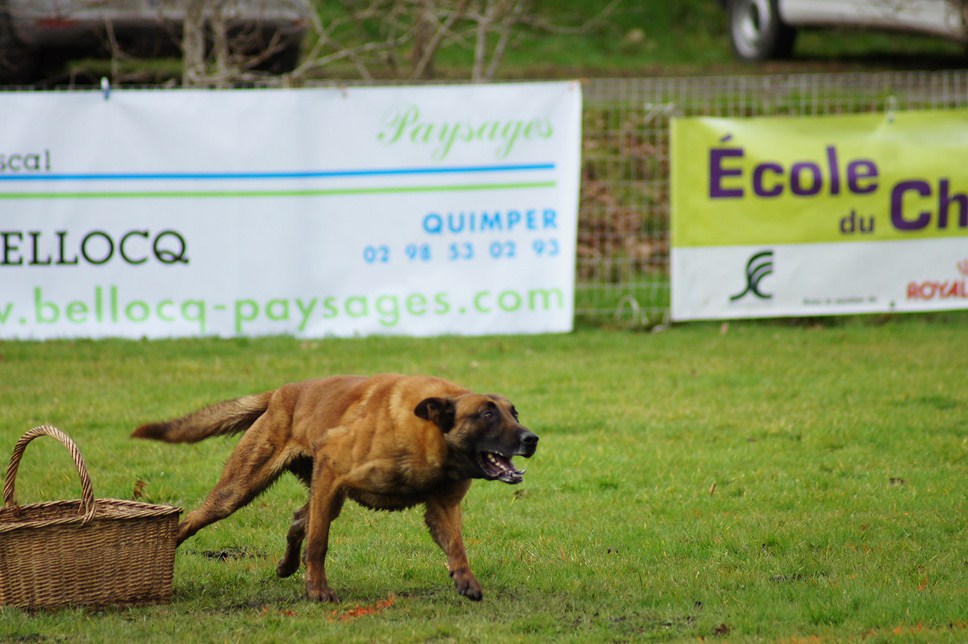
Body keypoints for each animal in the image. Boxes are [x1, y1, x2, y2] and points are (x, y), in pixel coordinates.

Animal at [132, 374, 536, 600]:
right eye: (487, 414)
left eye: (514, 412)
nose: (531, 439)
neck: (428, 430)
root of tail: (281, 392)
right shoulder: (331, 467)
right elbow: (319, 542)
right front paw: (317, 590)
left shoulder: (443, 508)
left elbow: (456, 546)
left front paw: (466, 581)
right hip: (240, 489)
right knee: (197, 519)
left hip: (327, 494)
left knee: (299, 518)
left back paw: (286, 566)